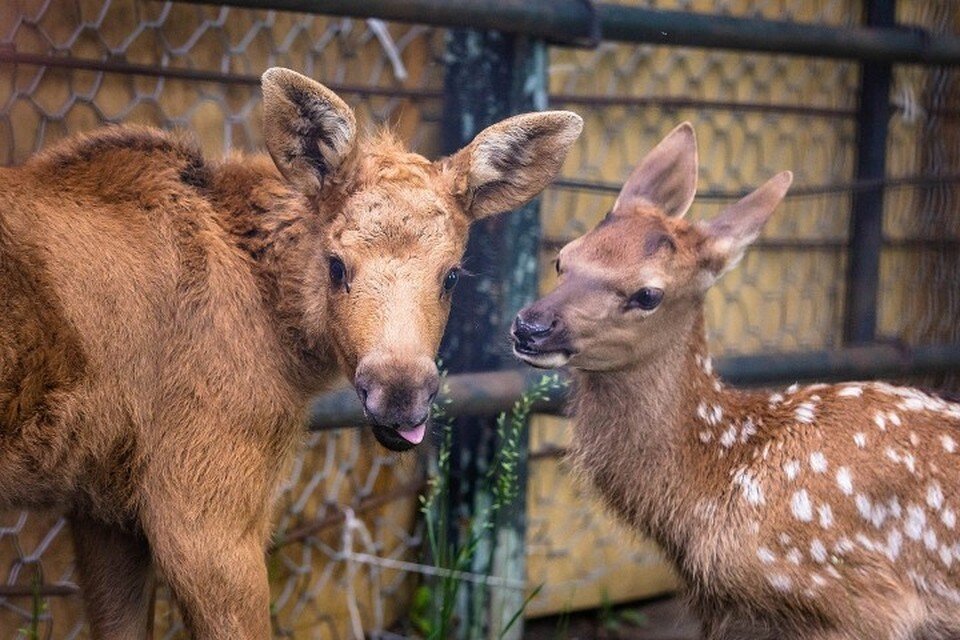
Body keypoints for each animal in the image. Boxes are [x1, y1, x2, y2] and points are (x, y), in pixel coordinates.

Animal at [0, 67, 580, 636]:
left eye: (452, 275)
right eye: (336, 264)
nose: (400, 395)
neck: (276, 326)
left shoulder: (102, 505)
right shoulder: (201, 505)